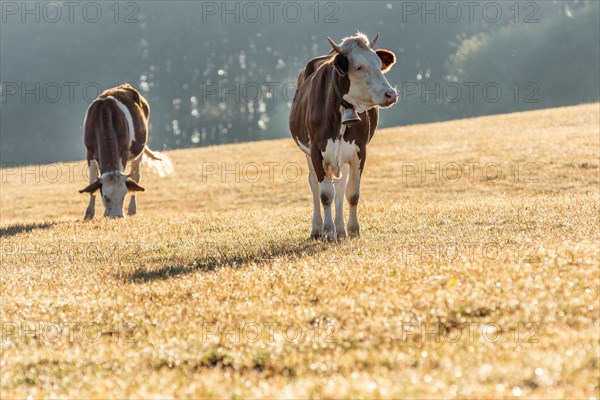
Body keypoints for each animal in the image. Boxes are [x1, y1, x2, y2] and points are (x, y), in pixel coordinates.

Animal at [79, 83, 159, 219]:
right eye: (105, 196)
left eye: (123, 195)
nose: (117, 216)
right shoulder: (89, 152)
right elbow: (92, 182)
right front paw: (89, 214)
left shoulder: (124, 152)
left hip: (139, 151)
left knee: (136, 176)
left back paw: (132, 209)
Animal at [290, 32, 398, 241]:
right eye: (358, 67)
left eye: (378, 63)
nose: (391, 94)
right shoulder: (316, 151)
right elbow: (325, 195)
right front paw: (328, 231)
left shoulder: (359, 151)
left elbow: (352, 193)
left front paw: (352, 230)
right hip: (308, 154)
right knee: (314, 184)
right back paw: (317, 229)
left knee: (340, 185)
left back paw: (340, 229)